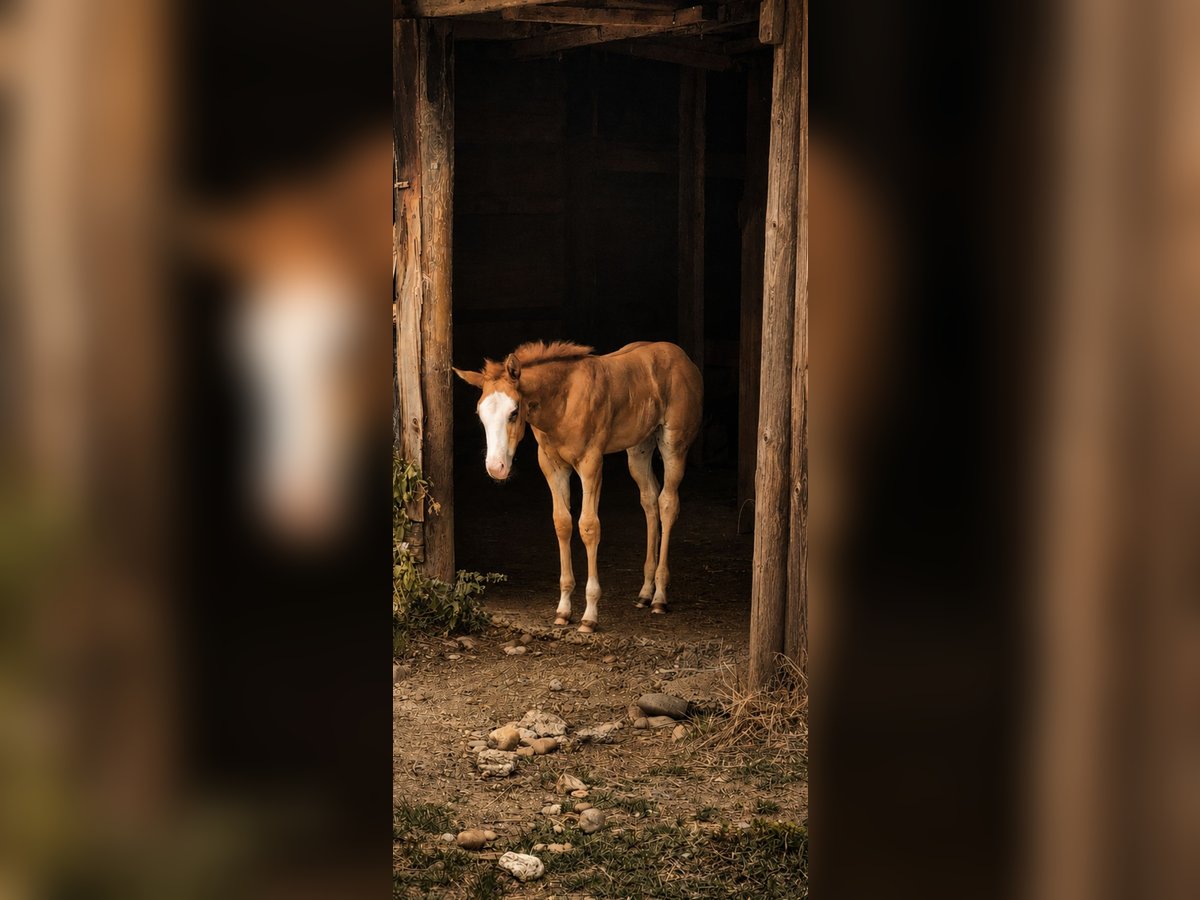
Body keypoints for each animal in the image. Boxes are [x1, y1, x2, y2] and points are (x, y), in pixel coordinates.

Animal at [454, 340, 703, 633]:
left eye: (514, 412)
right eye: (480, 414)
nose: (496, 468)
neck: (562, 400)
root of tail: (684, 358)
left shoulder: (590, 463)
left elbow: (588, 526)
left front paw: (590, 615)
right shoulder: (551, 464)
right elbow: (562, 523)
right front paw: (563, 610)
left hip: (674, 445)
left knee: (667, 503)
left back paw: (660, 597)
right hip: (639, 448)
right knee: (649, 500)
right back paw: (645, 593)